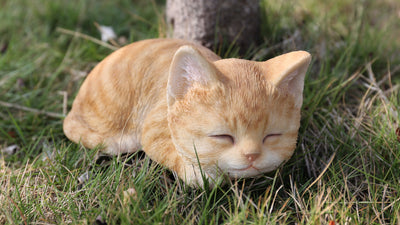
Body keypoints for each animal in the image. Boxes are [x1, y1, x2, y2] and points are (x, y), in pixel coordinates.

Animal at [63, 38, 312, 186]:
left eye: (272, 136)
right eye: (222, 136)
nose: (252, 155)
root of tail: (74, 109)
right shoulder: (152, 128)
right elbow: (167, 151)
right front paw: (201, 175)